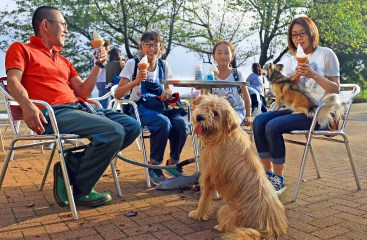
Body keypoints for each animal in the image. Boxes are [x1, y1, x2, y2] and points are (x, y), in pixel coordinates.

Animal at [191, 94, 288, 239]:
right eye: (204, 106)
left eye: (216, 113)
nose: (199, 117)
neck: (222, 135)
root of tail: (269, 230)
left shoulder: (208, 176)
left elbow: (203, 199)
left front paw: (198, 214)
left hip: (227, 210)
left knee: (230, 226)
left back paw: (219, 226)